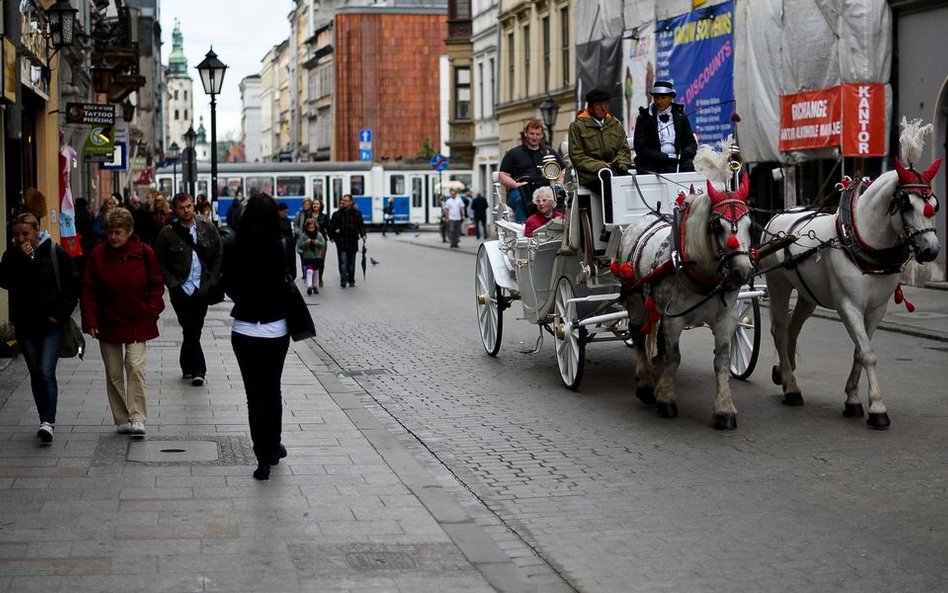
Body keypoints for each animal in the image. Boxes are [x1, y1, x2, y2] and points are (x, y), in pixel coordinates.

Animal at [616, 173, 756, 428]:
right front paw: (666, 399)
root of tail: (643, 218)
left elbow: (721, 361)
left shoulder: (726, 318)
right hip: (636, 299)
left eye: (750, 226)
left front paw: (724, 409)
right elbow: (674, 357)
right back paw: (645, 385)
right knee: (638, 334)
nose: (743, 271)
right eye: (717, 226)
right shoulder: (674, 318)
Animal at [764, 119, 940, 426]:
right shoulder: (849, 306)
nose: (931, 250)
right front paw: (877, 408)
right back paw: (791, 386)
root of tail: (778, 215)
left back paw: (785, 374)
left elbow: (860, 351)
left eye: (935, 205)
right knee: (780, 330)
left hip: (808, 294)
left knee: (793, 326)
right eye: (906, 204)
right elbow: (867, 353)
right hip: (777, 286)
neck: (863, 239)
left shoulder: (877, 309)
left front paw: (853, 399)